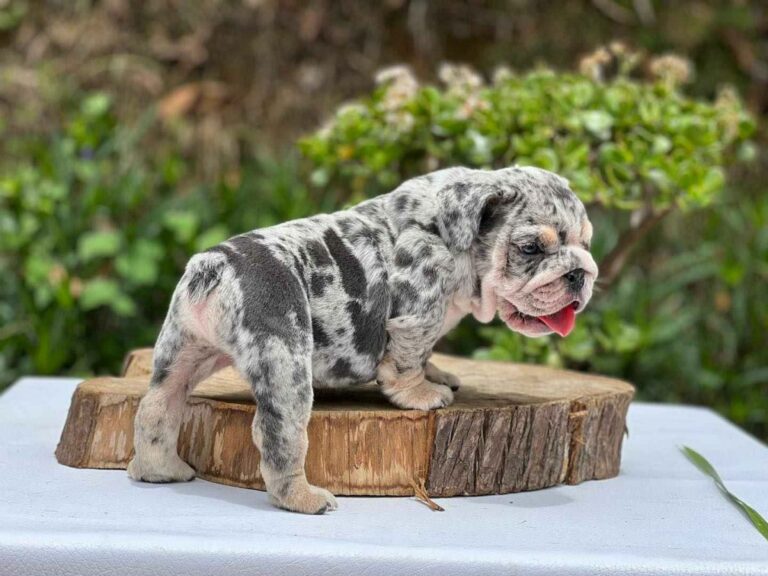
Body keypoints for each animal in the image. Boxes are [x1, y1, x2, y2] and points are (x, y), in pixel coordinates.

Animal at [127, 166, 598, 514]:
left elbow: (427, 354)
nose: (580, 272)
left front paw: (438, 374)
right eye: (531, 248)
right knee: (278, 434)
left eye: (587, 242)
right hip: (284, 361)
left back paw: (158, 469)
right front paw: (422, 394)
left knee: (158, 407)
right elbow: (408, 359)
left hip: (182, 350)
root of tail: (216, 268)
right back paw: (304, 499)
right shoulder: (417, 315)